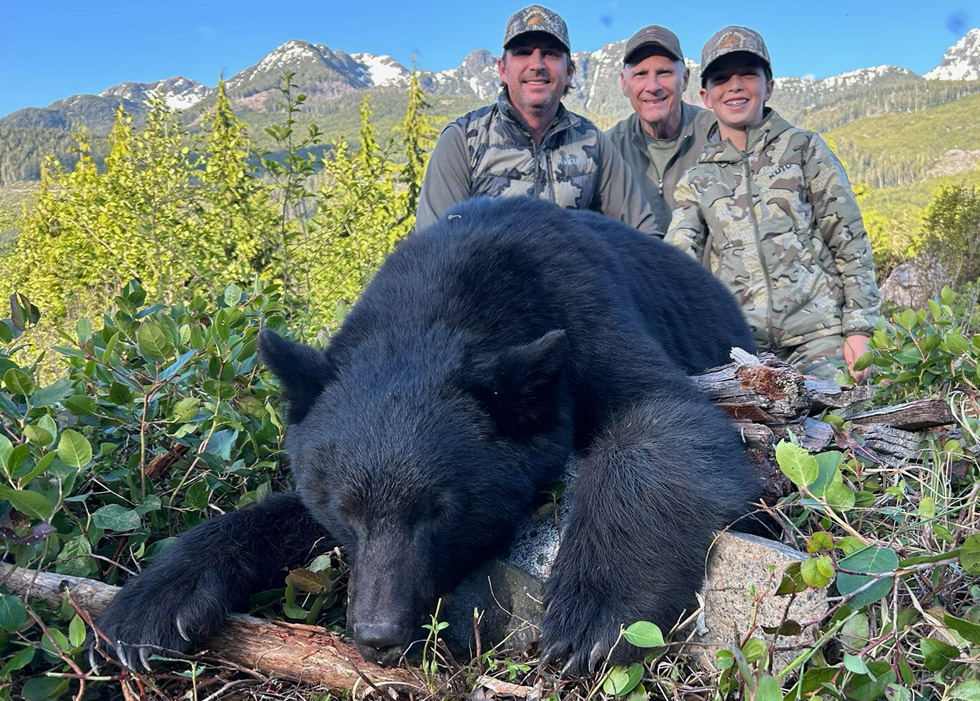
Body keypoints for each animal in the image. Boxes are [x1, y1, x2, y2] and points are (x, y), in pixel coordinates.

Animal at [91, 196, 761, 675]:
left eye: (441, 510)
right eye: (347, 511)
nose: (377, 635)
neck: (452, 293)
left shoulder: (587, 308)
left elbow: (663, 420)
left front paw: (592, 614)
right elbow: (275, 514)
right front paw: (147, 609)